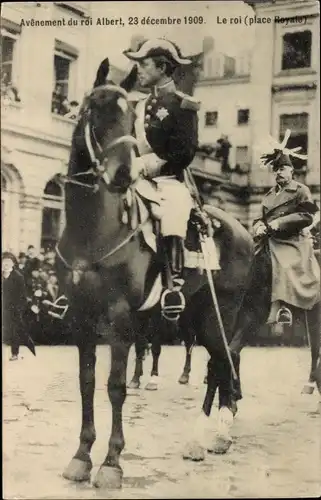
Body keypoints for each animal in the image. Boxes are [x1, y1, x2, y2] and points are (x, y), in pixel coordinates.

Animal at [55, 57, 316, 488]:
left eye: (129, 119)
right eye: (94, 111)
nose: (124, 175)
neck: (94, 229)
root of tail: (247, 232)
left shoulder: (120, 319)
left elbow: (115, 386)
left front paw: (111, 463)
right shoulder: (81, 318)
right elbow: (86, 383)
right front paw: (80, 456)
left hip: (219, 315)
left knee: (224, 363)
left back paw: (215, 434)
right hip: (194, 314)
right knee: (218, 365)